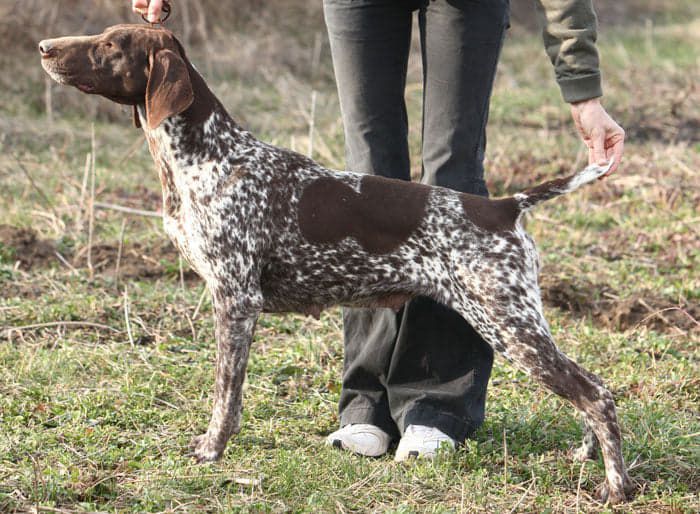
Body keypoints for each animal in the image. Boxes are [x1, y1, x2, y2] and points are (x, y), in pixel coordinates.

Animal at [39, 24, 636, 500]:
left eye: (110, 44)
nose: (44, 47)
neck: (210, 156)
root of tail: (503, 206)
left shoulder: (235, 301)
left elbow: (225, 396)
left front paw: (211, 451)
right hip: (518, 322)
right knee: (592, 388)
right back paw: (587, 457)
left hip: (507, 323)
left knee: (597, 394)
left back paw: (616, 486)